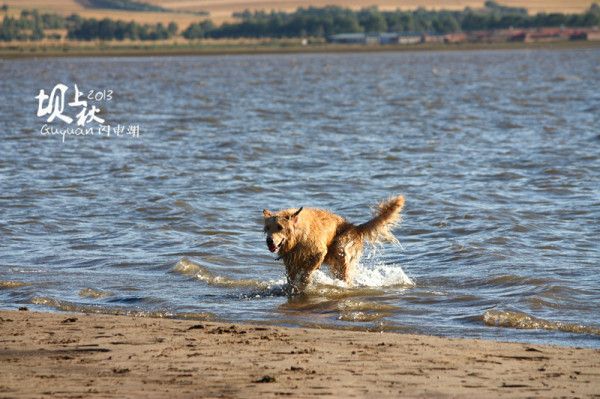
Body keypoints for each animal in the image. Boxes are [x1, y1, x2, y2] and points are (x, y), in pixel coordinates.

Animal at [262, 195, 404, 292]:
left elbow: (307, 272)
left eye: (280, 227)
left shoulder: (319, 252)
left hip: (341, 251)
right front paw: (293, 288)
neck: (298, 238)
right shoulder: (290, 262)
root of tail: (355, 227)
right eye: (267, 228)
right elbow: (291, 279)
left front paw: (305, 282)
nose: (269, 241)